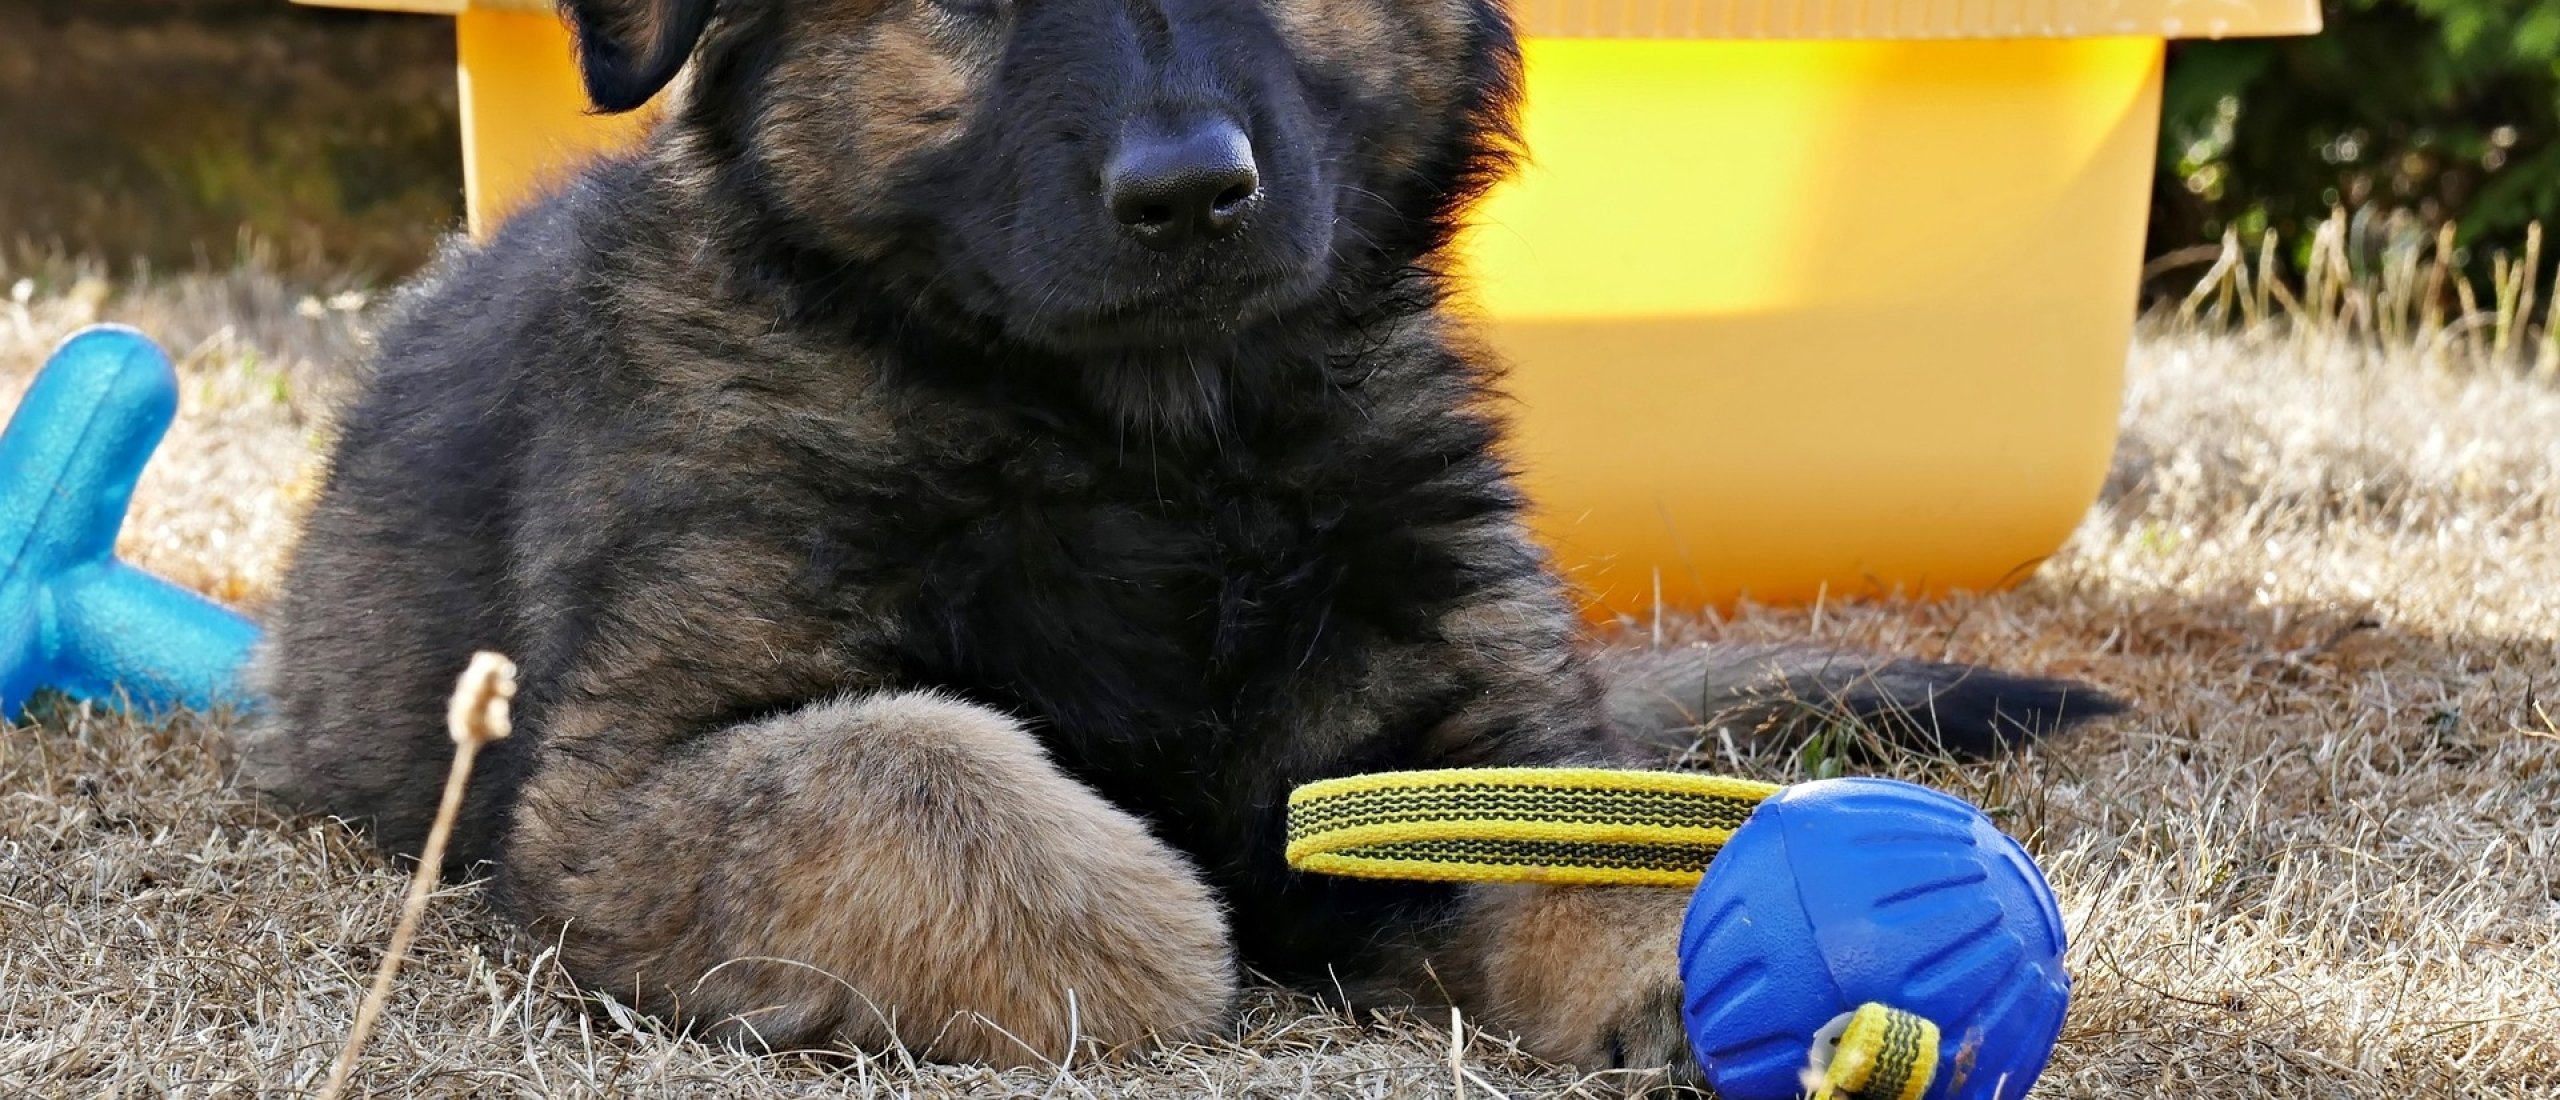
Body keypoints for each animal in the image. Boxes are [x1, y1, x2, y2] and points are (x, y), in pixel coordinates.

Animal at [240, 0, 2119, 1084]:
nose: (1190, 192)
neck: (1143, 447)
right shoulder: (611, 787)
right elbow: (914, 771)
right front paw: (1164, 929)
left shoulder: (1463, 718)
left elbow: (1605, 834)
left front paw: (1707, 963)